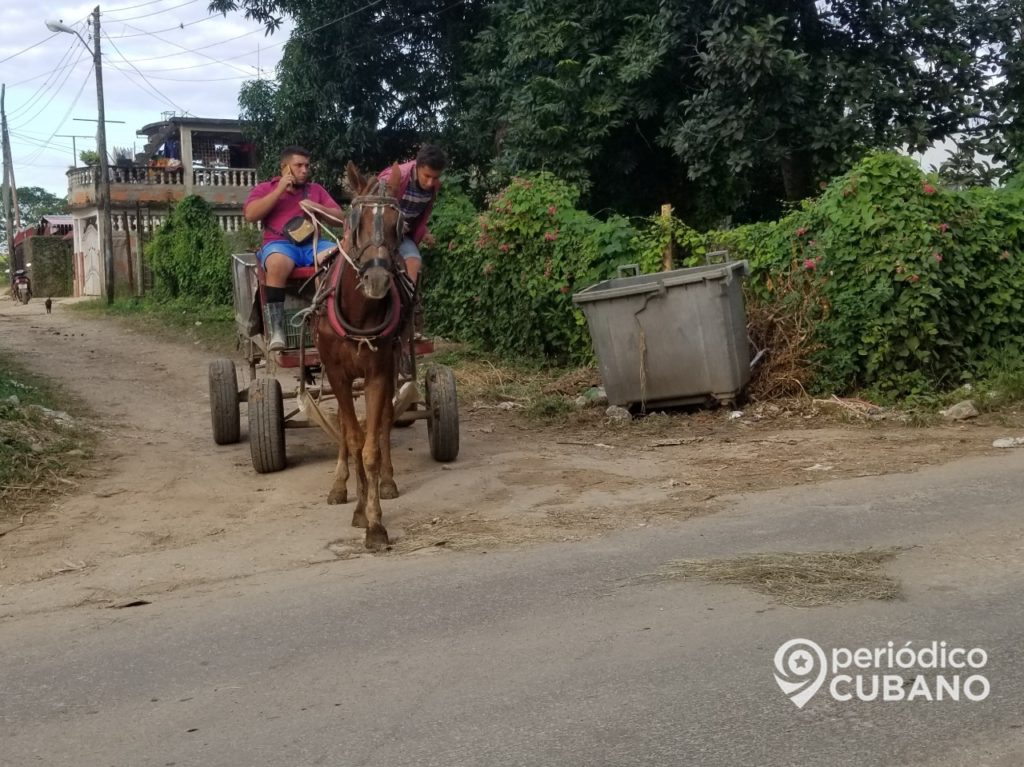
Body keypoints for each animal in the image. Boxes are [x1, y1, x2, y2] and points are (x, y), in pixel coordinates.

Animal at [307, 158, 407, 548]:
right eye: (355, 221)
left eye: (399, 225)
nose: (377, 280)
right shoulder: (337, 375)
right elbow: (351, 439)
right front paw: (360, 508)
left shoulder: (378, 372)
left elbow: (370, 448)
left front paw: (375, 522)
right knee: (343, 429)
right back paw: (339, 485)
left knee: (383, 422)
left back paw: (389, 481)